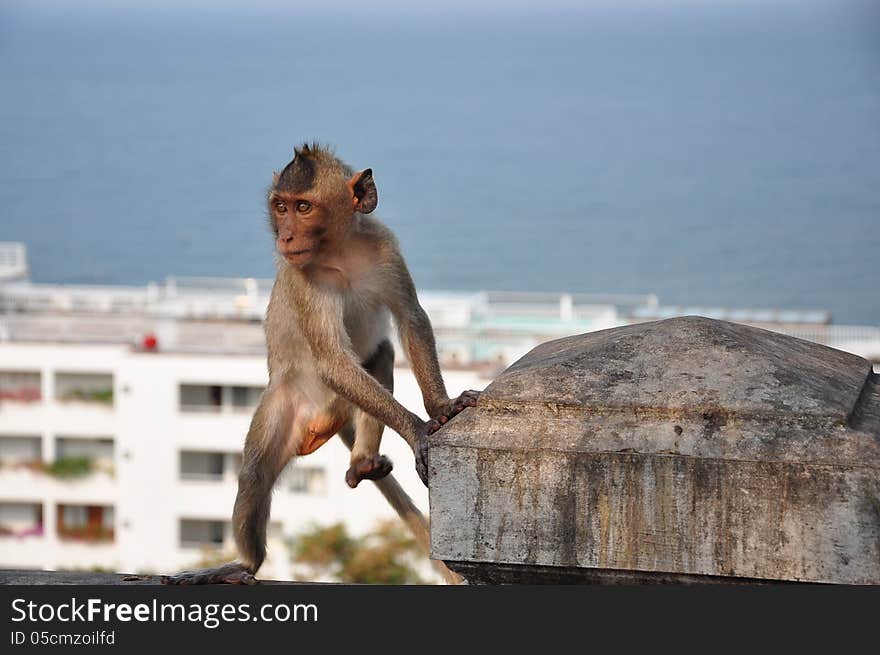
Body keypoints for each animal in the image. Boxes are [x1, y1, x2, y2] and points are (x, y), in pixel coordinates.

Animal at [165, 142, 482, 584]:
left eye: (303, 207)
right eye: (280, 207)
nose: (285, 235)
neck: (339, 252)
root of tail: (319, 422)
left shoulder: (385, 247)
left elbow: (411, 319)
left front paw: (440, 407)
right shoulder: (303, 278)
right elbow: (332, 360)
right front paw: (418, 430)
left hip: (344, 403)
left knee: (381, 354)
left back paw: (362, 462)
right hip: (283, 408)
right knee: (253, 476)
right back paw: (242, 564)